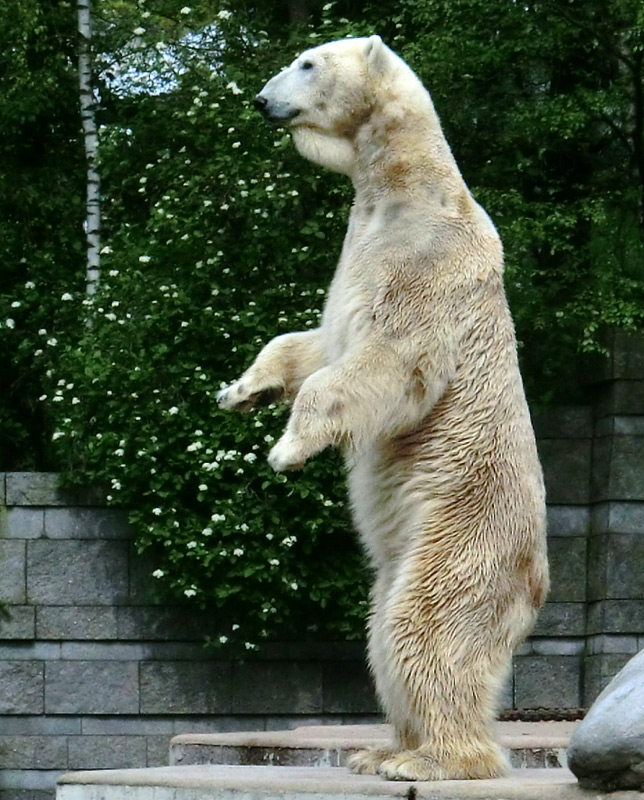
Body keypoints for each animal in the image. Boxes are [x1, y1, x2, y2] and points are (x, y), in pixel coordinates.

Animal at [218, 37, 548, 780]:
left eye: (308, 63)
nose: (261, 100)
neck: (399, 187)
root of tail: (537, 583)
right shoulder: (358, 254)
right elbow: (318, 342)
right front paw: (241, 391)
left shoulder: (425, 261)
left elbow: (392, 360)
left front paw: (286, 451)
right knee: (381, 634)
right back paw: (382, 748)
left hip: (464, 536)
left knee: (426, 631)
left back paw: (431, 761)